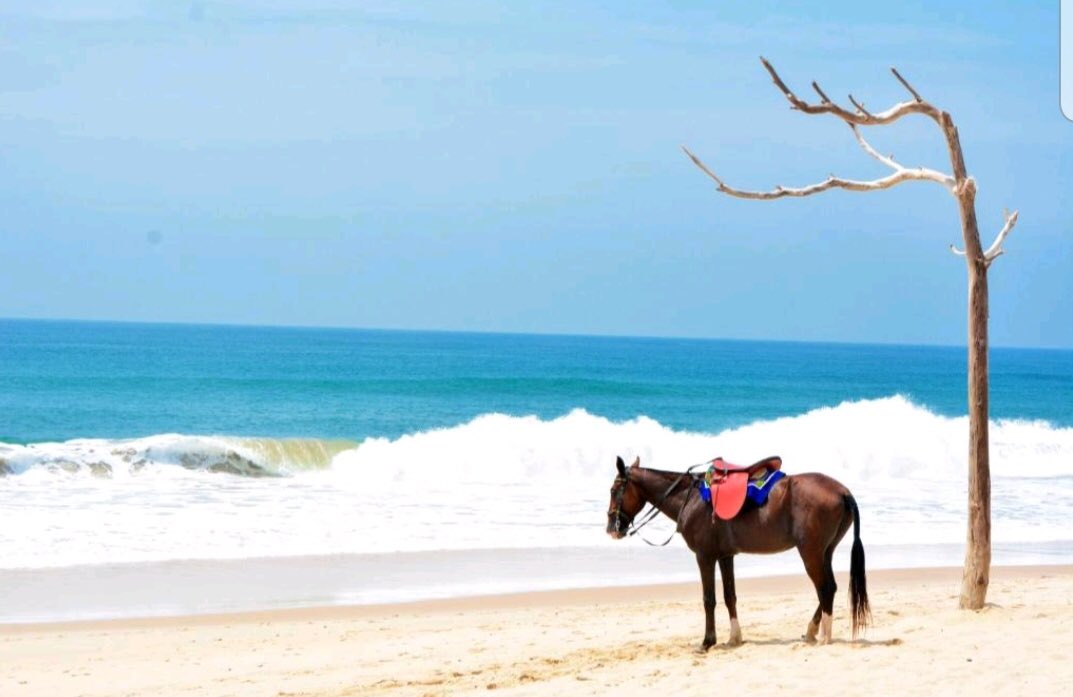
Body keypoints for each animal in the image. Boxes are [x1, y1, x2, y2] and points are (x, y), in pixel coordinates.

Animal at [606, 456, 869, 649]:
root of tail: (842, 491)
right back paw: (812, 631)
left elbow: (709, 599)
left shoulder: (704, 557)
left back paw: (824, 636)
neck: (690, 498)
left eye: (614, 489)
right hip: (825, 552)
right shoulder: (725, 556)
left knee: (824, 588)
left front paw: (707, 642)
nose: (611, 528)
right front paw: (735, 637)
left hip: (811, 553)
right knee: (830, 588)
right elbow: (729, 596)